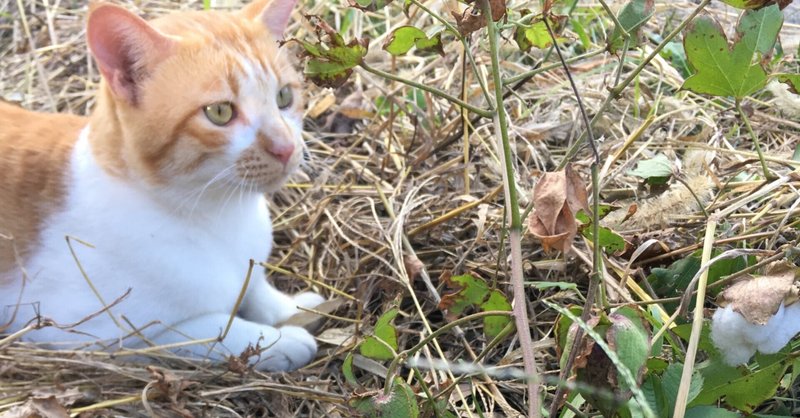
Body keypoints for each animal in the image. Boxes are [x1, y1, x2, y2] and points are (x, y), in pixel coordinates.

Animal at [0, 0, 324, 372]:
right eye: (220, 112)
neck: (223, 214)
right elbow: (210, 330)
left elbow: (254, 285)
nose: (285, 147)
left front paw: (290, 306)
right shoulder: (90, 331)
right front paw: (280, 340)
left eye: (284, 96)